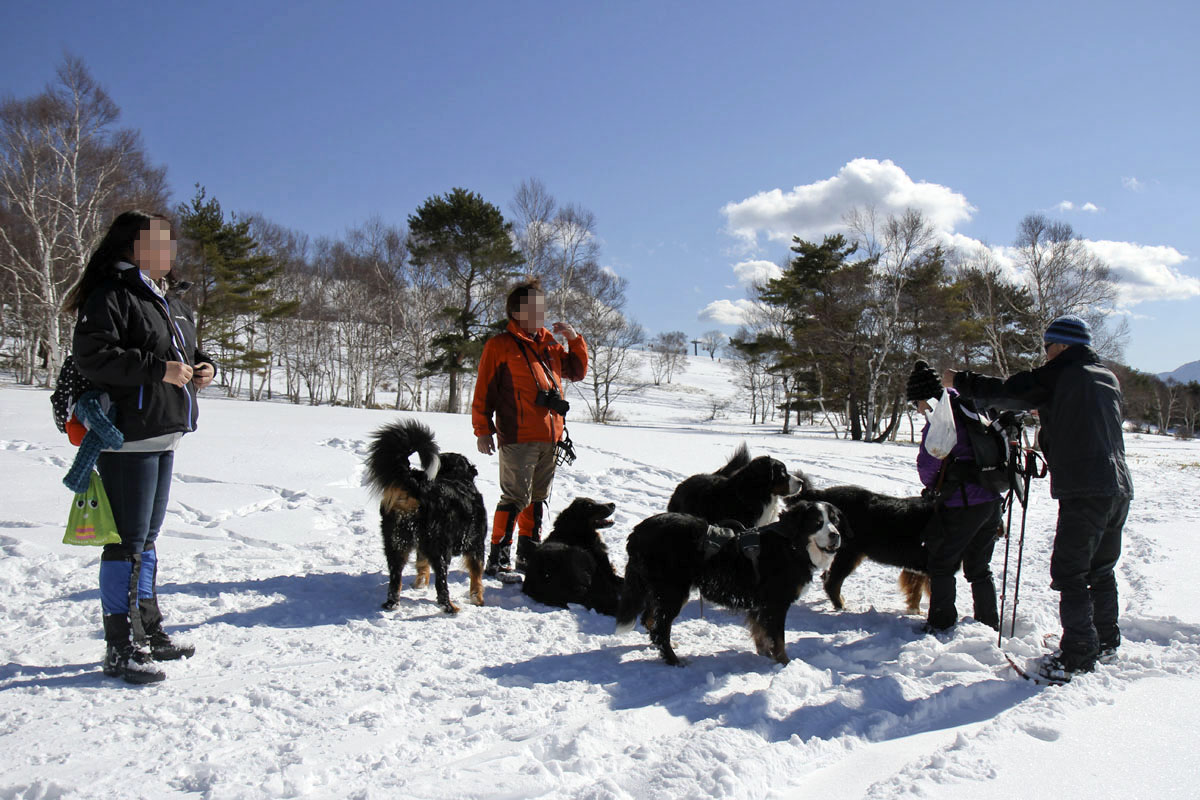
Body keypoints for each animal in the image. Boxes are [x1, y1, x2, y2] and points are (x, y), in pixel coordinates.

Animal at [362, 419, 484, 614]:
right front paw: (477, 599)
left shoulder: (419, 547)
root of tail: (416, 486)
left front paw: (419, 585)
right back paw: (450, 608)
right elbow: (477, 574)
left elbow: (421, 564)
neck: (457, 478)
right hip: (441, 548)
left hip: (396, 543)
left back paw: (392, 604)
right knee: (441, 585)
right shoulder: (476, 543)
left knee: (395, 580)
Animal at [614, 503, 840, 666]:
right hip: (673, 591)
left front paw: (765, 654)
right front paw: (785, 663)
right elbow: (779, 639)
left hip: (659, 590)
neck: (792, 545)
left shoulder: (761, 605)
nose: (836, 535)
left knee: (649, 620)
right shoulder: (776, 604)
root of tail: (637, 532)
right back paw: (674, 660)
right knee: (660, 629)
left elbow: (762, 634)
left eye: (835, 520)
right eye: (817, 522)